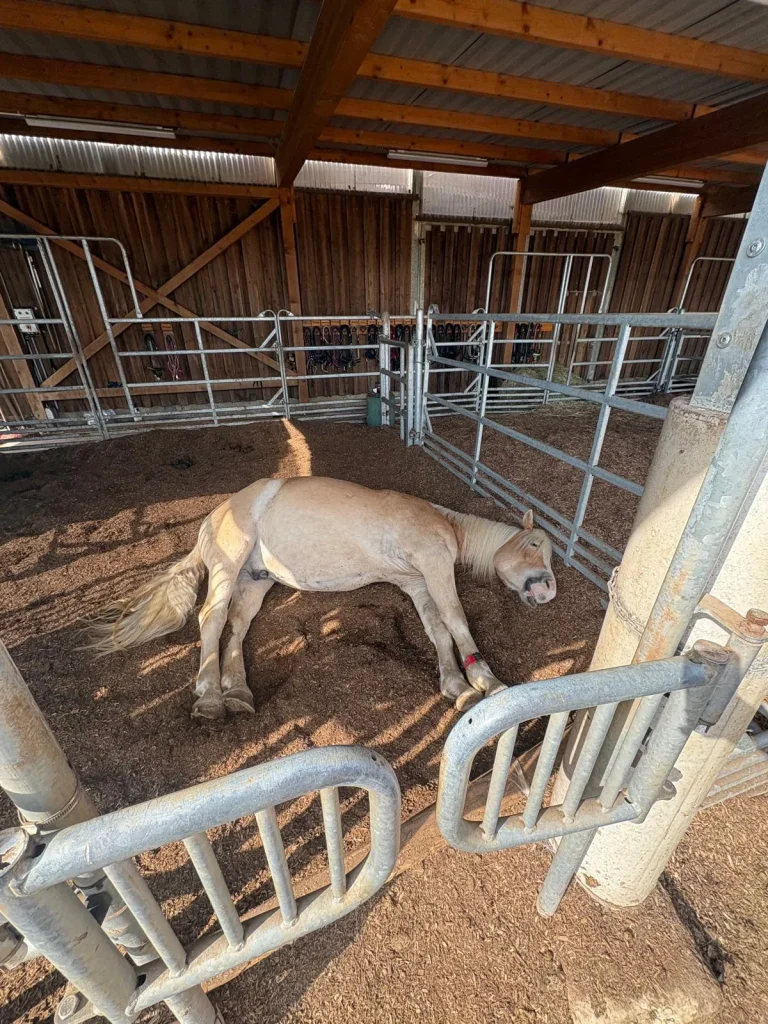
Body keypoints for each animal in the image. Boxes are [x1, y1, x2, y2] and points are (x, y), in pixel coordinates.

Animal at [86, 476, 557, 720]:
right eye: (536, 545)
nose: (548, 589)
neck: (443, 523)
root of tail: (214, 517)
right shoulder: (434, 566)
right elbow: (457, 621)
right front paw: (487, 682)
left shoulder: (418, 582)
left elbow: (438, 630)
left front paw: (457, 685)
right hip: (226, 565)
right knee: (212, 619)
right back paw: (210, 698)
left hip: (254, 580)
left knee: (236, 627)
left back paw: (237, 692)